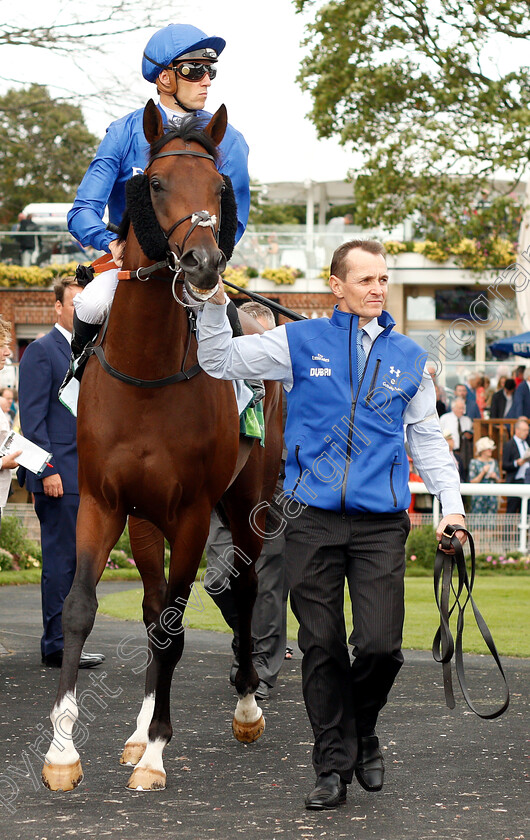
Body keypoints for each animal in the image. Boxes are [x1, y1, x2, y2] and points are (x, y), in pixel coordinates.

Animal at [42, 100, 282, 796]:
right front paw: (63, 753)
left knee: (245, 589)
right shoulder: (103, 502)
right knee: (151, 607)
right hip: (146, 520)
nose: (202, 265)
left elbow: (177, 627)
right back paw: (136, 730)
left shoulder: (195, 512)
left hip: (246, 504)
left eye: (221, 186)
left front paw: (156, 755)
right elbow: (80, 609)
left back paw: (245, 708)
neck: (147, 376)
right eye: (152, 183)